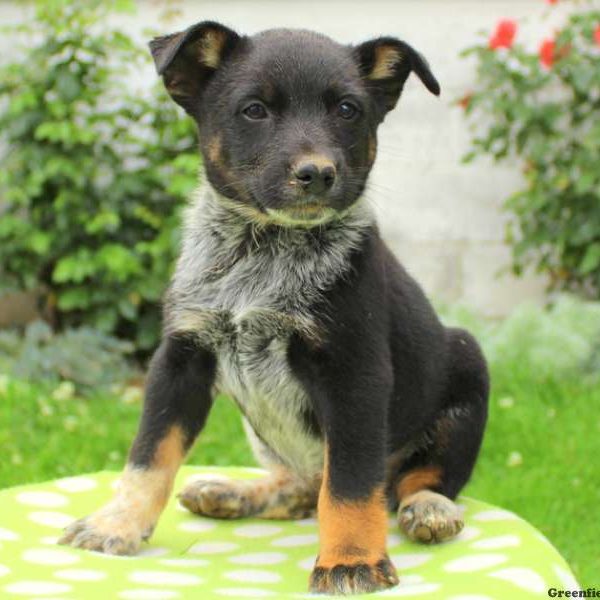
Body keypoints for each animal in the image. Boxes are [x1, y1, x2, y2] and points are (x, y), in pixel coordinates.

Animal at [58, 22, 490, 596]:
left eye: (348, 110)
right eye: (255, 110)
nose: (317, 173)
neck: (261, 251)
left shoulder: (354, 375)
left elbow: (352, 484)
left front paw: (349, 561)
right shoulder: (181, 358)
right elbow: (149, 453)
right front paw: (117, 525)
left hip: (467, 364)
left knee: (414, 481)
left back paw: (429, 510)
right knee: (300, 488)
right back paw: (233, 493)